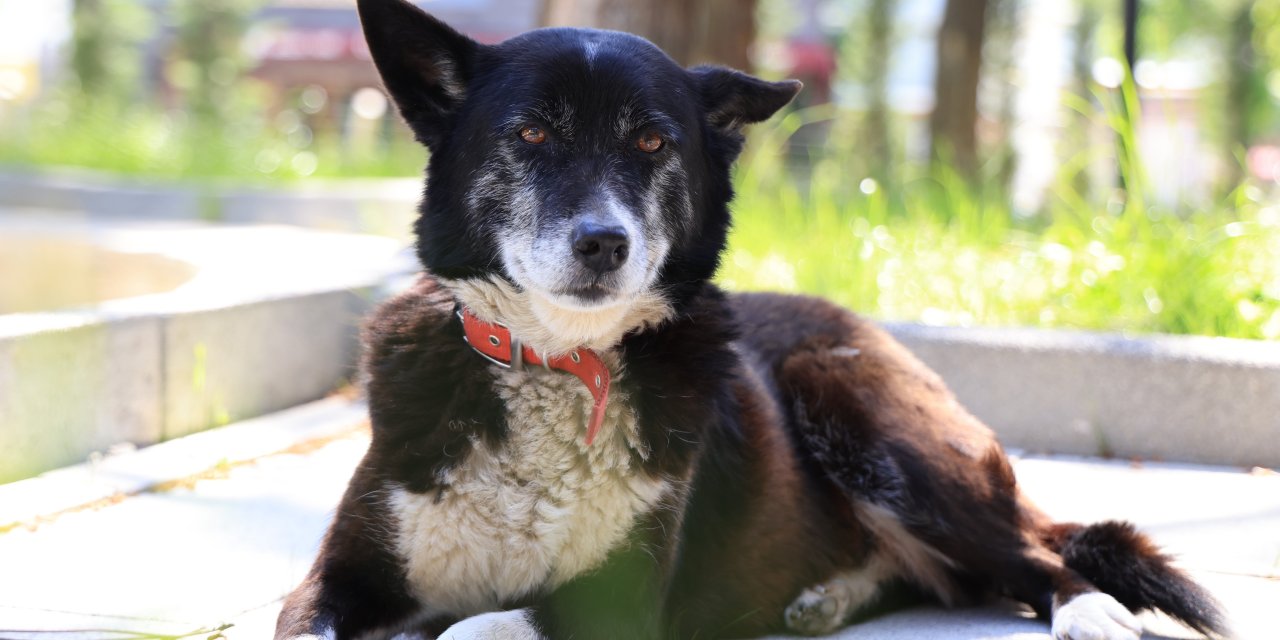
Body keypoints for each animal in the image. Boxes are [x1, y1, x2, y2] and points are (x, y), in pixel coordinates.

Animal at [275, 2, 1223, 637]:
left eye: (652, 142)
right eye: (532, 136)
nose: (603, 243)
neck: (558, 362)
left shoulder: (615, 605)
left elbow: (479, 625)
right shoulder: (333, 582)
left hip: (866, 415)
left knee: (1040, 558)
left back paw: (1090, 613)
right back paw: (825, 599)